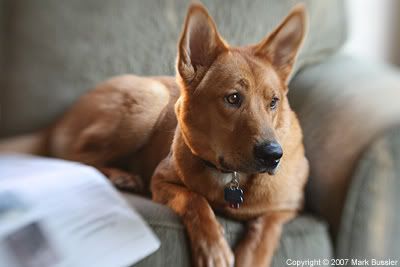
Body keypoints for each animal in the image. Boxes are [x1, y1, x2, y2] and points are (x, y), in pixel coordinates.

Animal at [0, 2, 308, 267]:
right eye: (233, 98)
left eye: (273, 102)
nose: (273, 155)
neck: (230, 178)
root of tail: (56, 122)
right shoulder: (160, 180)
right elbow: (195, 201)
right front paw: (212, 247)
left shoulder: (288, 206)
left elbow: (265, 229)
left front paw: (249, 256)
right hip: (151, 98)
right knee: (74, 158)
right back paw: (119, 175)